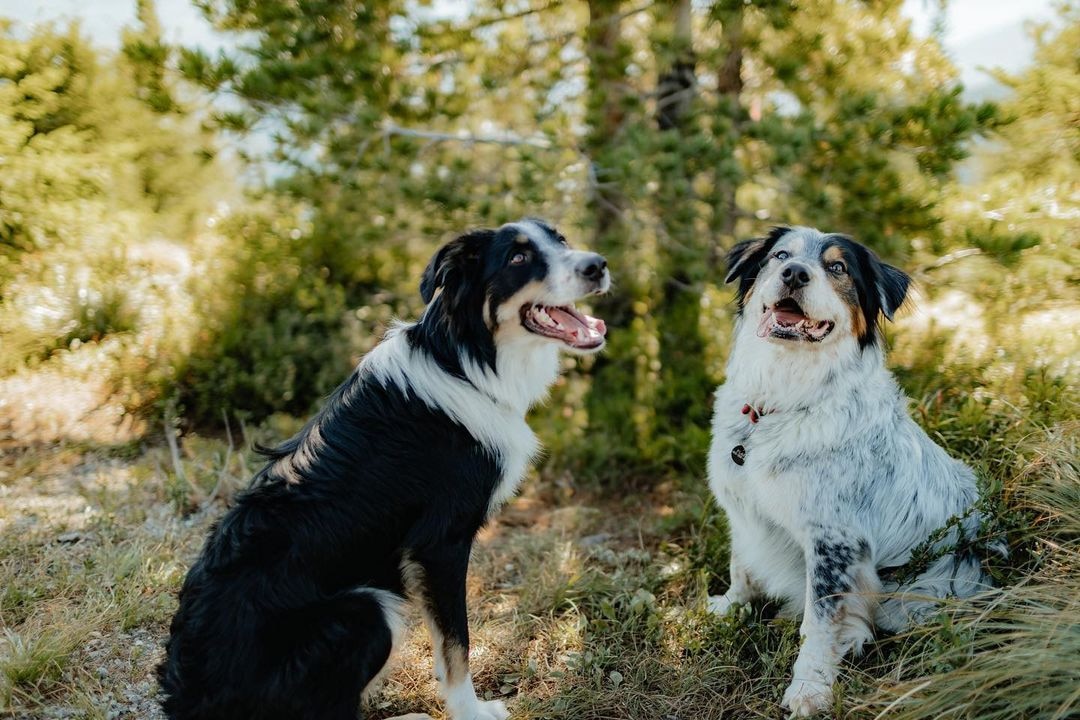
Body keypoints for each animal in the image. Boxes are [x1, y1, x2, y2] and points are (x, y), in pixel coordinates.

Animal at [157, 220, 609, 720]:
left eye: (561, 240)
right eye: (518, 258)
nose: (598, 265)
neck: (465, 362)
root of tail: (186, 698)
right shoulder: (440, 544)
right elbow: (457, 645)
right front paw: (470, 712)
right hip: (366, 609)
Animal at [704, 226, 989, 716]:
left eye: (837, 267)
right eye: (781, 255)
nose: (794, 274)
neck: (783, 402)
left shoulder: (833, 541)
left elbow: (819, 624)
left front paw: (809, 689)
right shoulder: (743, 508)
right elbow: (742, 563)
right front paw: (731, 606)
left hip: (930, 585)